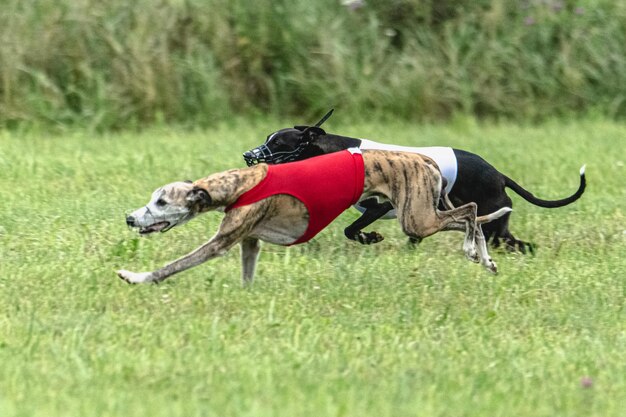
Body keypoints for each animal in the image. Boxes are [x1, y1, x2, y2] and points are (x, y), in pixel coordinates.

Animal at [241, 110, 584, 252]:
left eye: (278, 143)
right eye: (267, 138)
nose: (248, 155)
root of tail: (500, 175)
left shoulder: (377, 206)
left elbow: (351, 229)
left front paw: (370, 238)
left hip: (492, 222)